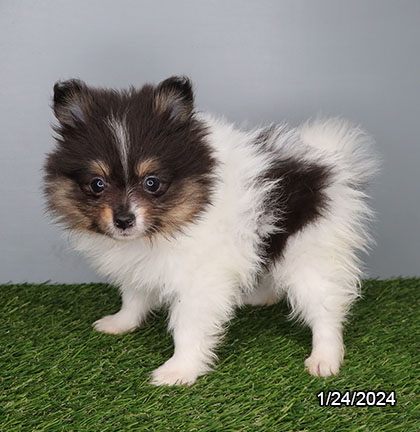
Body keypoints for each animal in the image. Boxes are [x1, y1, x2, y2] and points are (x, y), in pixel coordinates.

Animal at [43, 77, 378, 384]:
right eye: (97, 185)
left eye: (152, 183)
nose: (124, 220)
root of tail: (326, 161)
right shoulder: (140, 264)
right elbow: (134, 296)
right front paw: (121, 322)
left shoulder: (200, 280)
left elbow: (187, 327)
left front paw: (179, 370)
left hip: (309, 249)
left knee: (324, 306)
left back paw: (325, 357)